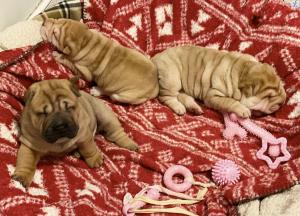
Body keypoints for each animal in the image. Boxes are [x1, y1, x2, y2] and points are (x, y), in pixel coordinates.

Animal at [152, 45, 286, 118]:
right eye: (269, 96)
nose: (281, 103)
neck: (241, 71)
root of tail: (155, 57)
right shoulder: (214, 95)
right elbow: (230, 101)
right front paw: (243, 110)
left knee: (182, 95)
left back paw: (194, 108)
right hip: (172, 78)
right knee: (166, 97)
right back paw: (179, 107)